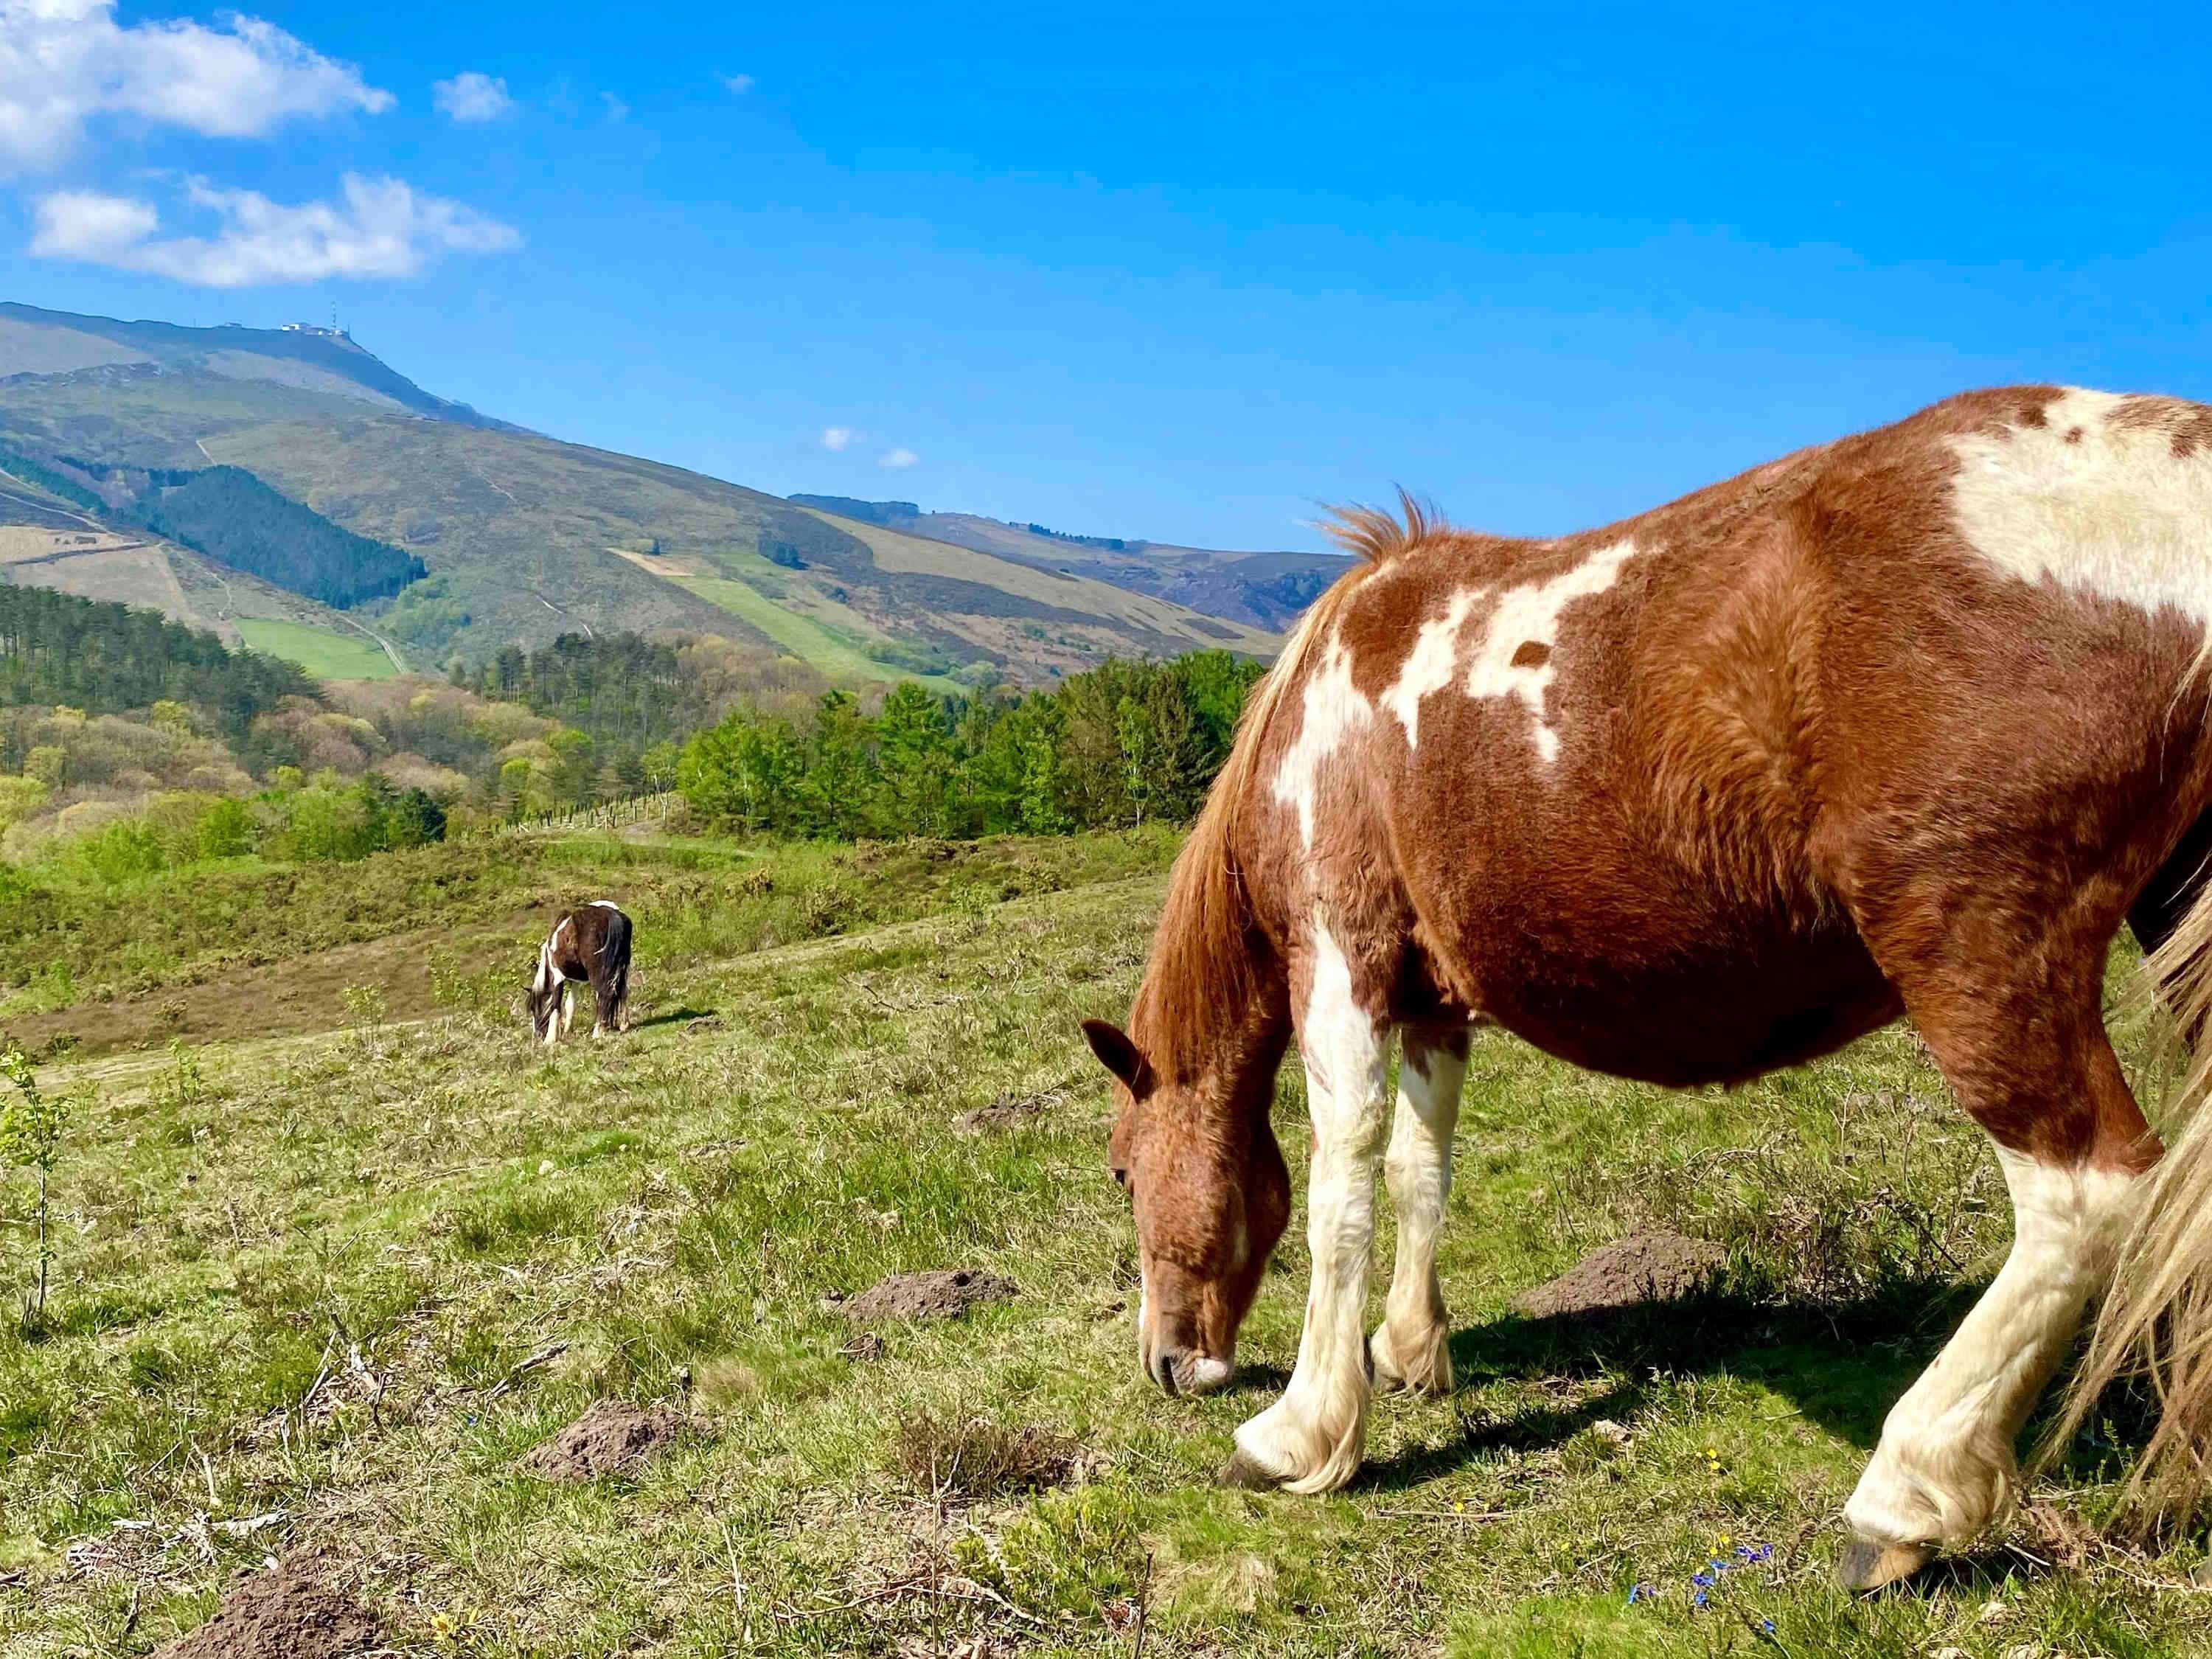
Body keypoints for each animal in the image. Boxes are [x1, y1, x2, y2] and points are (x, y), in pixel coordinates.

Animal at [531, 902, 637, 1044]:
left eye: (533, 1009)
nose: (536, 1036)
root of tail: (610, 915)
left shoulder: (557, 977)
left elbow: (555, 1006)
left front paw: (550, 1039)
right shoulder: (574, 981)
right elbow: (570, 1004)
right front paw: (566, 1030)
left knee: (605, 994)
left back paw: (597, 1032)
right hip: (621, 968)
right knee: (622, 991)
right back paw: (623, 1025)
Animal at [1084, 383, 2212, 1593]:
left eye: (1122, 1171)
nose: (1168, 1362)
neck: (1329, 713)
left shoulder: (1346, 961)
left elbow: (1344, 1183)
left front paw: (1302, 1430)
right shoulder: (1434, 1003)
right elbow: (1419, 1171)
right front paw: (1412, 1350)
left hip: (1977, 951)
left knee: (2088, 1196)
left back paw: (1907, 1488)